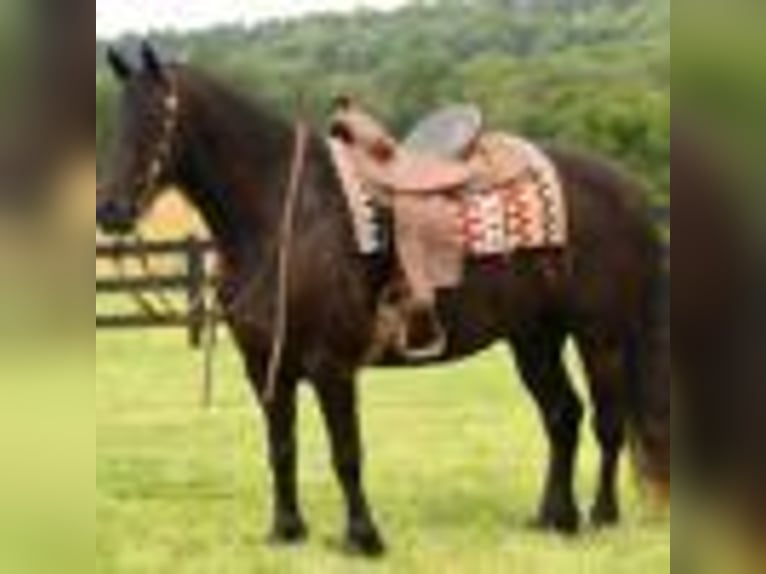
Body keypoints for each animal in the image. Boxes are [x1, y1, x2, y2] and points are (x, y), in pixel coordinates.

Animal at [97, 44, 669, 556]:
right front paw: (286, 531)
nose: (111, 211)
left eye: (156, 119)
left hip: (601, 336)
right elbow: (281, 448)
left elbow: (346, 453)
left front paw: (363, 537)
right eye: (115, 121)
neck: (286, 215)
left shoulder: (330, 364)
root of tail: (629, 189)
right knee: (562, 415)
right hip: (533, 338)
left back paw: (600, 516)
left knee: (607, 422)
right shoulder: (264, 366)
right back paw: (555, 518)